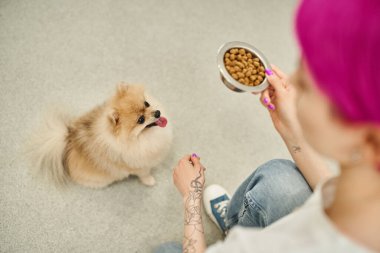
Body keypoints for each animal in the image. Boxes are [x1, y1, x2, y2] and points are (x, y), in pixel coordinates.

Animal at [28, 84, 172, 188]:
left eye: (146, 103)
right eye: (140, 120)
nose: (158, 113)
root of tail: (68, 139)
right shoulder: (137, 166)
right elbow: (144, 174)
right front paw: (150, 181)